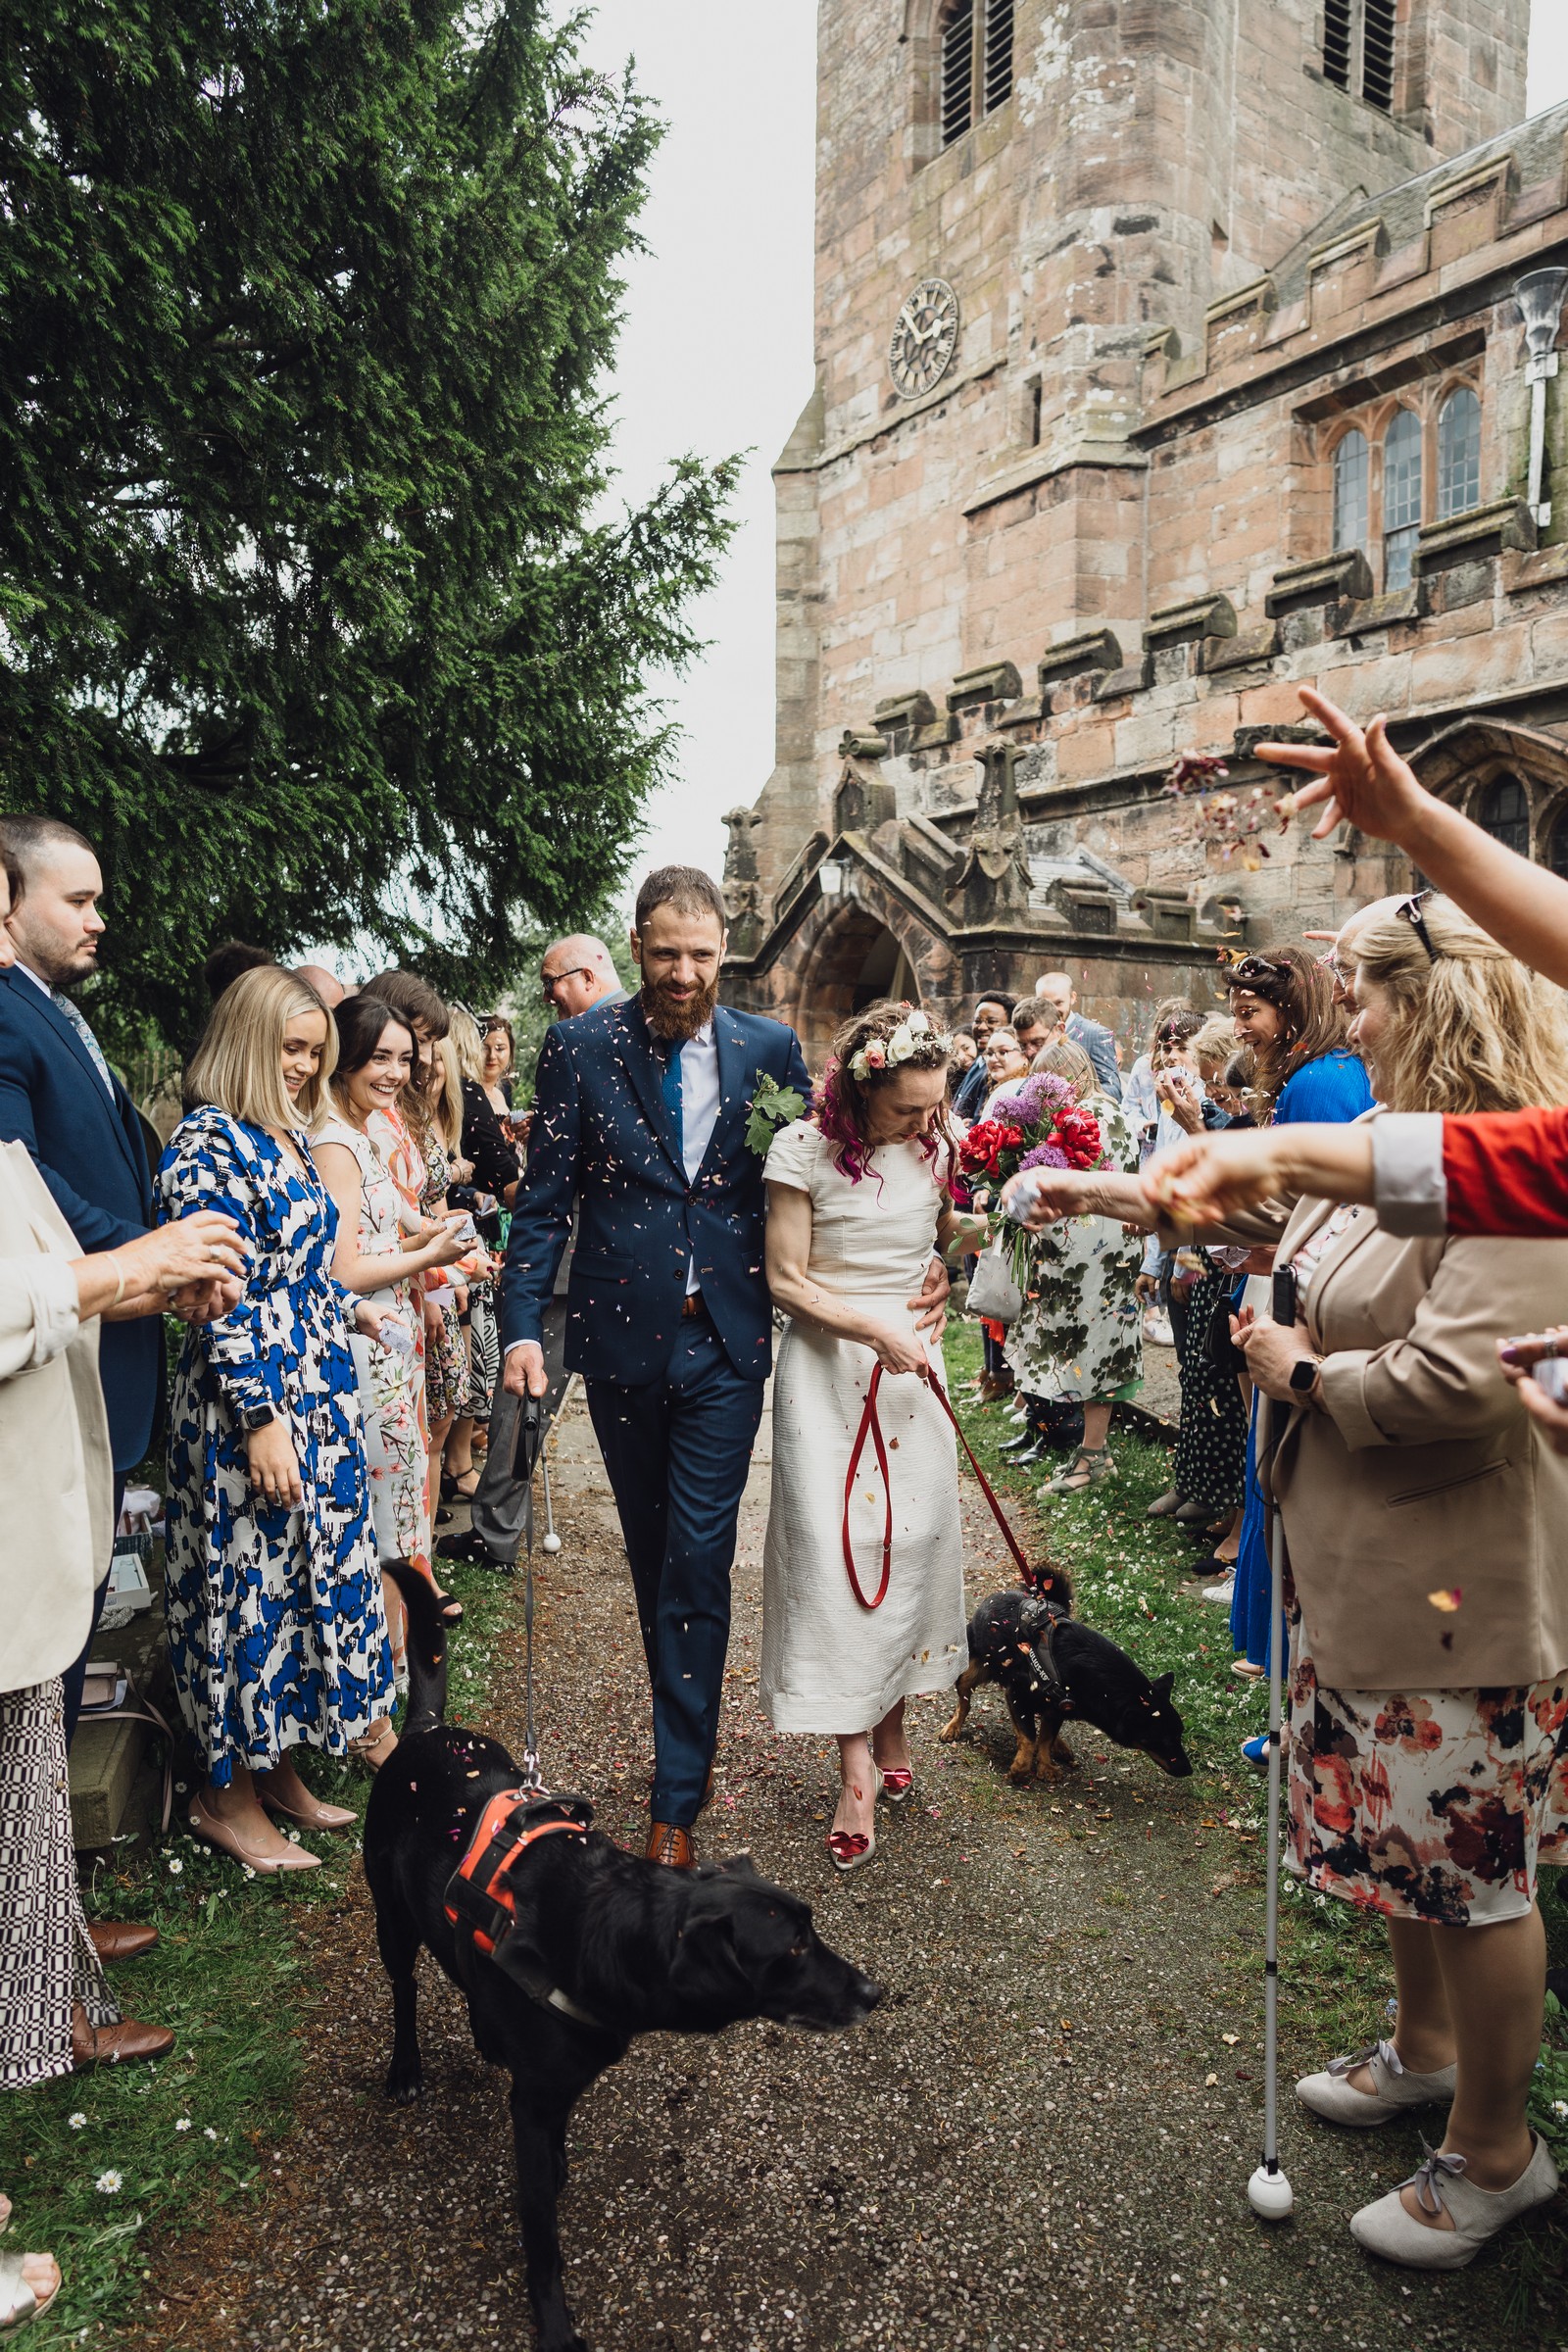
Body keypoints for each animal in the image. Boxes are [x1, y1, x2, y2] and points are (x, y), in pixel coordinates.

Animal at [945, 1580, 1189, 1778]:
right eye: (1163, 1740)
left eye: (1180, 1735)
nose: (1189, 1770)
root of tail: (992, 1598)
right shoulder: (1018, 1693)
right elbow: (1029, 1737)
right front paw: (1021, 1767)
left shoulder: (1059, 1704)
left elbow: (1045, 1739)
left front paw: (1045, 1765)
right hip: (975, 1670)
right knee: (964, 1699)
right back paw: (953, 1726)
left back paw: (1059, 1746)